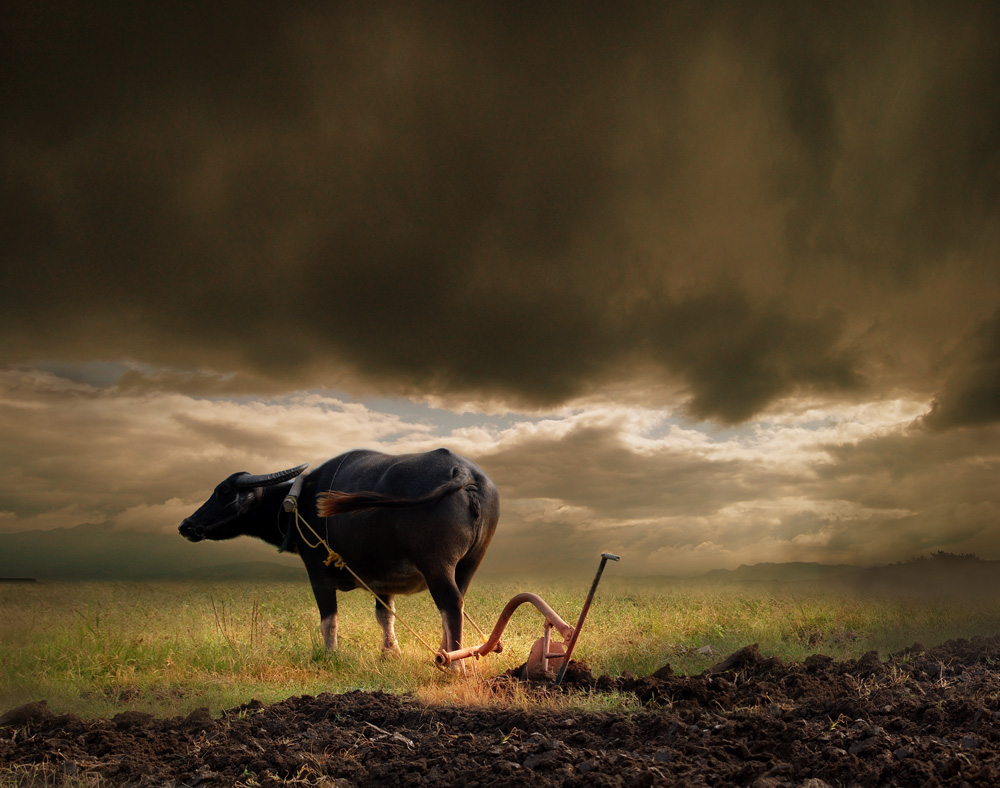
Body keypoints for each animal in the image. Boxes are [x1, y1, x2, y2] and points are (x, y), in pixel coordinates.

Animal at [178, 450, 500, 660]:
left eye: (223, 492)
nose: (186, 525)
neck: (300, 501)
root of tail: (463, 473)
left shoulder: (317, 573)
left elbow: (328, 618)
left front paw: (330, 654)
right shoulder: (383, 578)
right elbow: (385, 614)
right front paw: (389, 652)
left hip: (437, 565)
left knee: (450, 603)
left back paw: (452, 663)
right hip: (469, 563)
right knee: (457, 603)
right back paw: (444, 654)